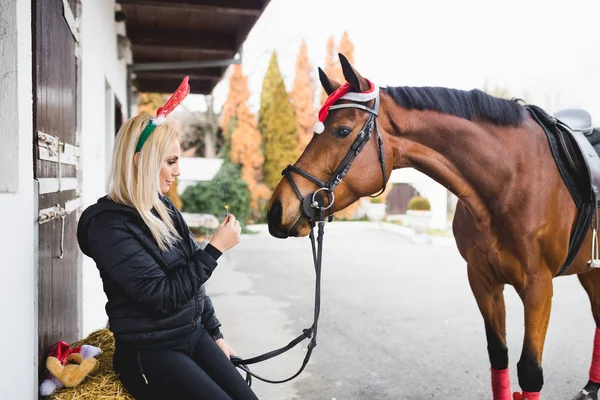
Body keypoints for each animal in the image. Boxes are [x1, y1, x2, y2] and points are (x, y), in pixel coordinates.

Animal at [270, 54, 600, 400]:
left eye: (342, 130)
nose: (278, 209)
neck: (510, 178)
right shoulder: (483, 281)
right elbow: (498, 356)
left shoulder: (539, 287)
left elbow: (530, 372)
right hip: (590, 270)